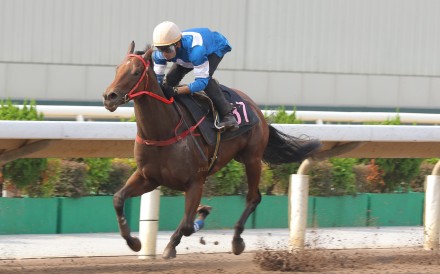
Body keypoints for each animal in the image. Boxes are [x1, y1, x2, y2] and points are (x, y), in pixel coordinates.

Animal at [103, 41, 322, 258]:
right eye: (117, 69)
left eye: (136, 72)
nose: (109, 96)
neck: (162, 133)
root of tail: (256, 109)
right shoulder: (148, 177)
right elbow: (118, 199)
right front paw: (134, 242)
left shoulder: (195, 182)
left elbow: (187, 224)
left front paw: (179, 237)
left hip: (252, 158)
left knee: (253, 198)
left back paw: (237, 241)